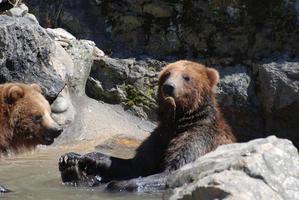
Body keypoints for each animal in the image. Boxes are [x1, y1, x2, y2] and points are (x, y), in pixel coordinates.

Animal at [58, 60, 237, 191]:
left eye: (186, 77)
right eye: (167, 74)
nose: (169, 87)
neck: (179, 120)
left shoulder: (199, 138)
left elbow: (175, 169)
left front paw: (119, 183)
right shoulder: (160, 136)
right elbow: (136, 164)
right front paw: (76, 156)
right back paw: (71, 170)